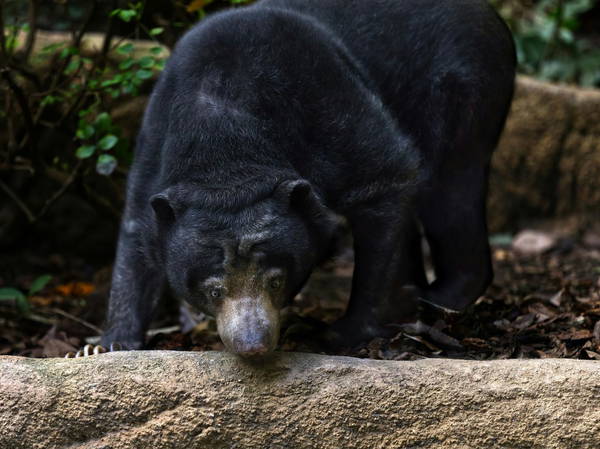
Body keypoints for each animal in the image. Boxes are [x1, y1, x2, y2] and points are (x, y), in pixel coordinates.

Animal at [98, 0, 516, 356]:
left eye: (275, 280)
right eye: (214, 291)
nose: (253, 345)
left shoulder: (324, 96)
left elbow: (385, 176)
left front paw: (344, 332)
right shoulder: (156, 137)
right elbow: (137, 227)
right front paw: (112, 344)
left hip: (465, 85)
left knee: (451, 188)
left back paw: (442, 298)